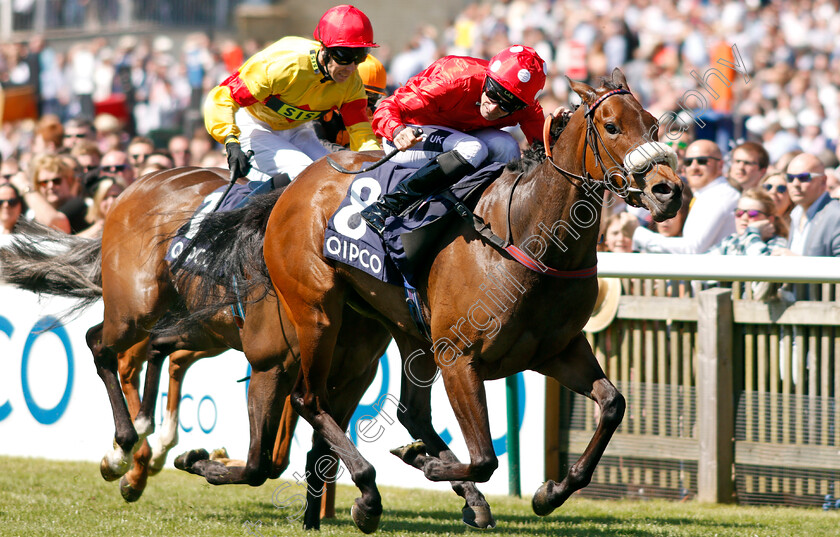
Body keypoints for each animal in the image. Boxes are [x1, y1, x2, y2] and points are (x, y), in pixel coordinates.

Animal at [260, 68, 684, 532]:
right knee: (311, 400)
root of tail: (300, 180)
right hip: (318, 312)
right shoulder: (458, 357)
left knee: (410, 412)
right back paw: (369, 495)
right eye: (611, 127)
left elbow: (612, 405)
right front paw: (428, 465)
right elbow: (484, 458)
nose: (668, 191)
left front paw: (550, 492)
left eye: (654, 125)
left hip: (404, 328)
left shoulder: (558, 350)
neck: (530, 238)